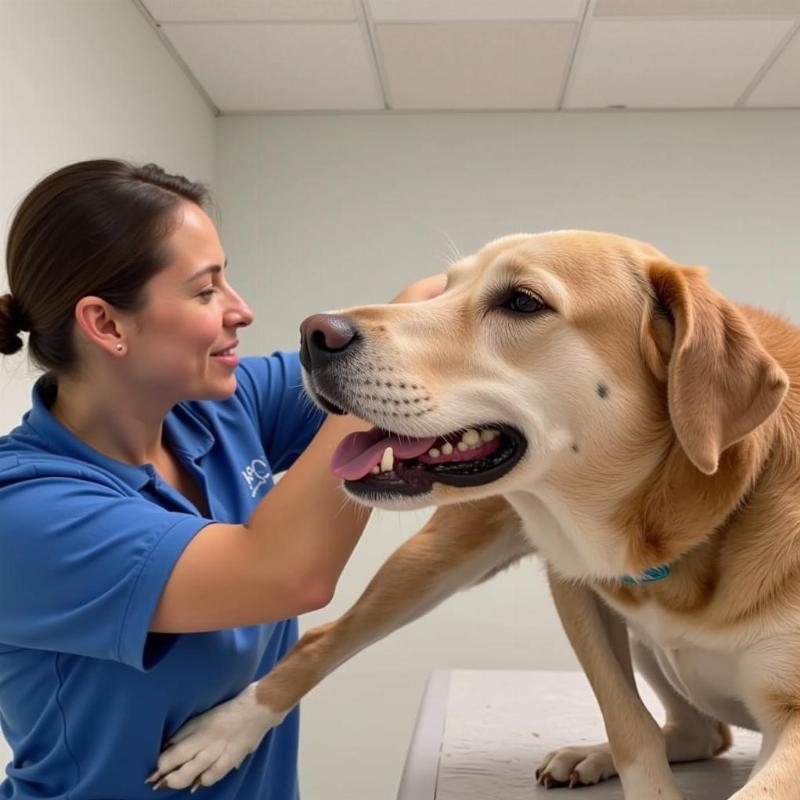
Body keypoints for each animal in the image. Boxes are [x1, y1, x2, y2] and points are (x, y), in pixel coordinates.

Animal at [148, 231, 792, 800]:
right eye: (443, 289)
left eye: (523, 302)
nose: (314, 333)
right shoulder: (575, 587)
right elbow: (629, 724)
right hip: (436, 557)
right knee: (324, 637)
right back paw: (226, 732)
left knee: (704, 733)